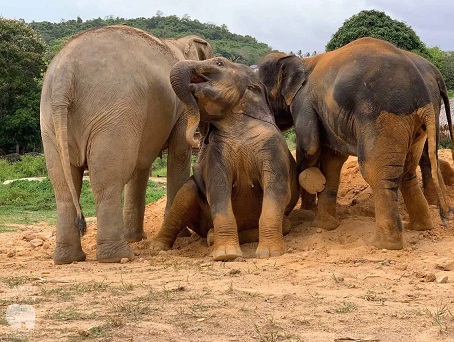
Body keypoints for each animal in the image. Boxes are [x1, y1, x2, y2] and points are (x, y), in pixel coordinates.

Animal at [40, 25, 214, 264]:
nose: (200, 138)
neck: (178, 43)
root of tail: (65, 74)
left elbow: (140, 167)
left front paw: (137, 238)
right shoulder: (181, 108)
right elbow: (178, 154)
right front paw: (183, 235)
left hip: (51, 119)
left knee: (63, 186)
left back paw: (69, 258)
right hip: (114, 112)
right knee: (108, 179)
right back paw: (118, 256)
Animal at [151, 57, 320, 260]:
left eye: (219, 63)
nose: (198, 139)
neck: (238, 125)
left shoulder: (272, 147)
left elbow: (277, 188)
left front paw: (269, 253)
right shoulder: (217, 152)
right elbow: (218, 189)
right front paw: (226, 256)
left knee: (285, 224)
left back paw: (212, 237)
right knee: (186, 193)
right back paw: (159, 247)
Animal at [258, 37, 454, 250]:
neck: (302, 60)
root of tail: (424, 95)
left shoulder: (303, 102)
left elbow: (309, 146)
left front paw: (309, 209)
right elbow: (332, 159)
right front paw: (325, 225)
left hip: (381, 116)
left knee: (376, 173)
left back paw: (382, 244)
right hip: (416, 125)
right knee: (407, 172)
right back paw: (420, 227)